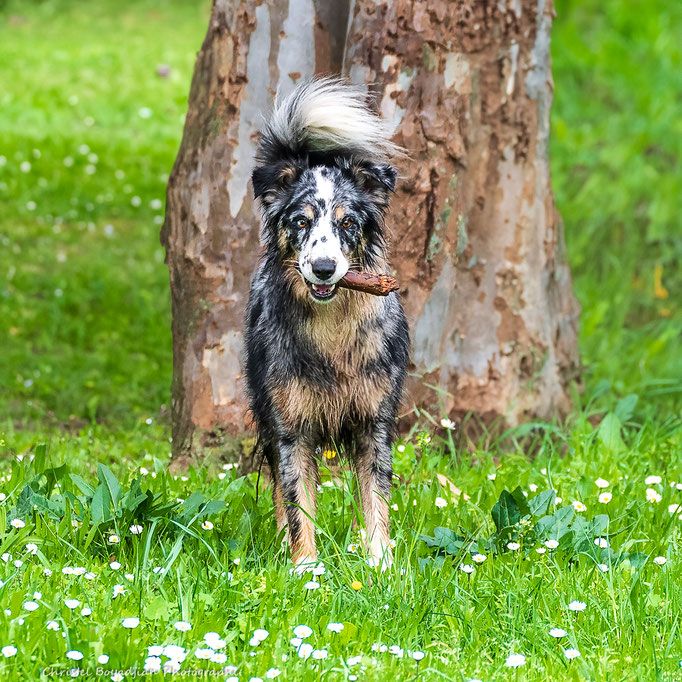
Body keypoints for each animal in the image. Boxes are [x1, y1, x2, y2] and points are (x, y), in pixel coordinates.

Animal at [243, 78, 406, 568]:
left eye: (347, 223)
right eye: (300, 222)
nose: (323, 267)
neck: (332, 328)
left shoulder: (375, 421)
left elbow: (375, 496)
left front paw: (380, 561)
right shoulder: (290, 424)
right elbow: (297, 498)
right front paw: (305, 566)